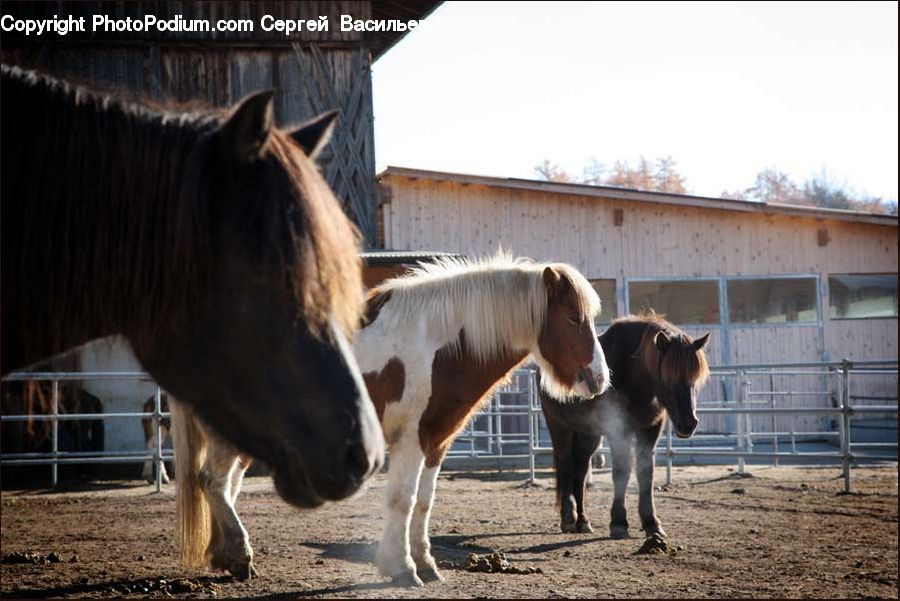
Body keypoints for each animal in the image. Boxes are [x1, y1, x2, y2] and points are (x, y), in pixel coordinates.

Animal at [540, 314, 710, 539]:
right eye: (668, 376)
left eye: (695, 378)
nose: (688, 424)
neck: (634, 377)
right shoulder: (618, 431)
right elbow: (621, 473)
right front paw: (619, 523)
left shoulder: (649, 431)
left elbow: (646, 474)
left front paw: (652, 523)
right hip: (560, 427)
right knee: (566, 466)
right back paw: (568, 519)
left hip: (587, 434)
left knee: (580, 471)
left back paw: (583, 521)